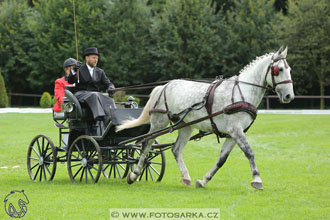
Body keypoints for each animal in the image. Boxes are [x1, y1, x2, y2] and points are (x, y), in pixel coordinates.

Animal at [116, 46, 294, 189]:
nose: (289, 96)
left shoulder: (233, 134)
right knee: (147, 144)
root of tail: (164, 86)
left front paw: (203, 181)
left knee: (176, 150)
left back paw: (186, 177)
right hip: (159, 122)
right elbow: (249, 152)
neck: (242, 92)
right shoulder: (235, 130)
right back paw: (134, 174)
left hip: (186, 126)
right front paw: (257, 179)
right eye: (279, 69)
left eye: (289, 69)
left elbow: (222, 159)